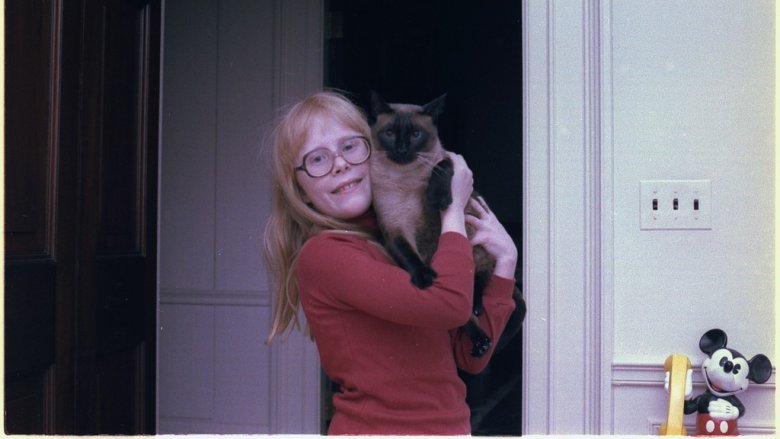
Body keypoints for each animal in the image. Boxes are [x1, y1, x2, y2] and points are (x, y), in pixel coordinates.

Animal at [368, 92, 524, 358]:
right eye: (389, 133)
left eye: (415, 134)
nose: (402, 149)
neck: (405, 180)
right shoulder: (395, 228)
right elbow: (409, 255)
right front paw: (425, 277)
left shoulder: (449, 160)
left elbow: (442, 167)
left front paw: (438, 199)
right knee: (463, 314)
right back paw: (479, 338)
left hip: (474, 242)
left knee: (480, 280)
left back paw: (478, 315)